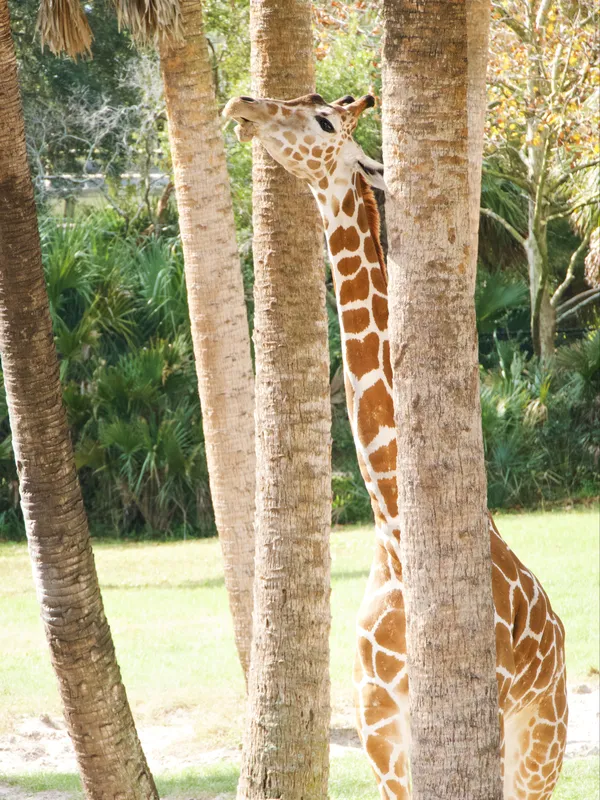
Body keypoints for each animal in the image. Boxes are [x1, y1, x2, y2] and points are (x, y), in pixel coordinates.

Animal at [223, 92, 568, 799]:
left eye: (326, 120)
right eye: (302, 101)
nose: (243, 102)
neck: (397, 532)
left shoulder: (477, 717)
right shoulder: (379, 731)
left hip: (540, 745)